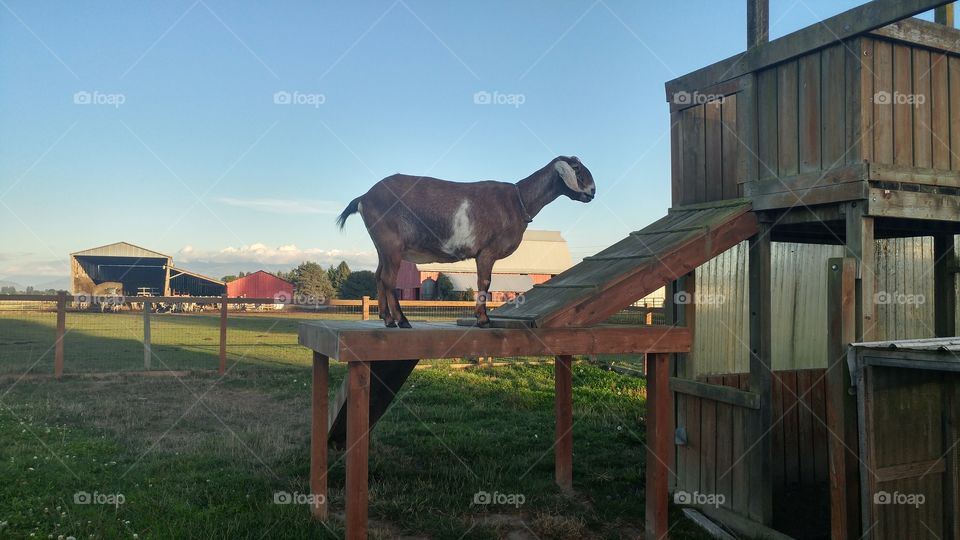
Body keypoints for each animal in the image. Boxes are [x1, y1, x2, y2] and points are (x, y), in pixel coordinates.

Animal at [336, 156, 596, 328]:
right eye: (577, 169)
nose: (592, 192)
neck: (518, 200)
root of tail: (364, 197)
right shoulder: (487, 252)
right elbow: (485, 282)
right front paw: (483, 319)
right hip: (391, 244)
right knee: (389, 280)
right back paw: (402, 320)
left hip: (383, 247)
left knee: (379, 276)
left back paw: (387, 318)